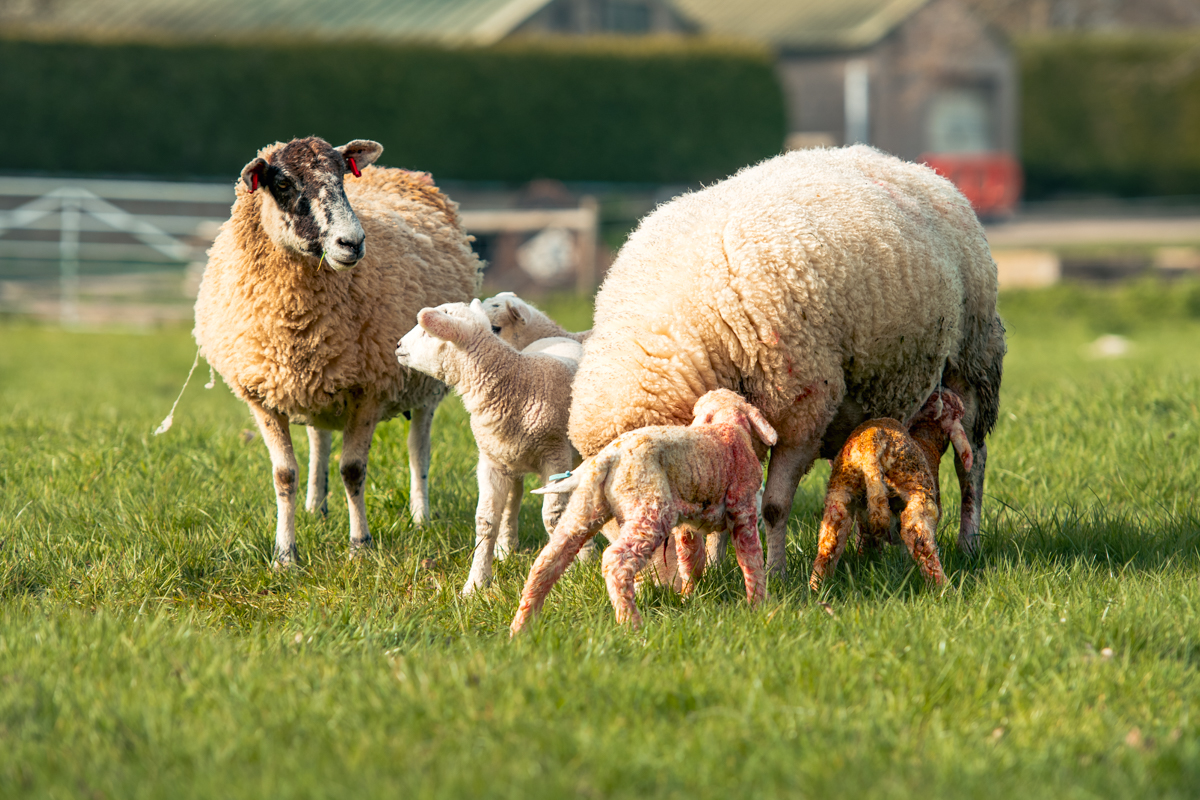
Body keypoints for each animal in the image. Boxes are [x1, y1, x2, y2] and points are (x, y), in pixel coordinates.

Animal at [193, 136, 482, 566]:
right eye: (282, 183)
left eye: (342, 178)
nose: (353, 243)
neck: (296, 320)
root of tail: (404, 173)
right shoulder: (262, 394)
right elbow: (284, 474)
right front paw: (285, 555)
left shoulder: (370, 389)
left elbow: (353, 470)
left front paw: (360, 546)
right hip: (319, 381)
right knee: (319, 439)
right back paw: (316, 507)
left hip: (426, 381)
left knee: (419, 448)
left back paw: (420, 516)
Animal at [395, 298, 582, 594]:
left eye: (426, 332)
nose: (398, 345)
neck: (517, 382)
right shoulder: (490, 461)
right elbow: (485, 522)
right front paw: (475, 584)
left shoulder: (556, 455)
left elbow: (553, 517)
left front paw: (566, 574)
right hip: (512, 458)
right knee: (514, 502)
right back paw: (507, 550)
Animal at [510, 389, 776, 633]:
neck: (726, 426)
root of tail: (609, 456)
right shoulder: (743, 506)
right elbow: (751, 559)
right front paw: (759, 606)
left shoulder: (686, 525)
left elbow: (691, 559)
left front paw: (689, 596)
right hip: (650, 506)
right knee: (615, 561)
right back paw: (632, 627)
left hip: (585, 506)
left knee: (548, 560)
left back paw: (521, 627)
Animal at [808, 389, 974, 591]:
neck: (926, 440)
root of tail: (870, 444)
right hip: (915, 484)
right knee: (916, 533)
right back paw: (944, 588)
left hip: (841, 487)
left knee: (831, 536)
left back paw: (816, 586)